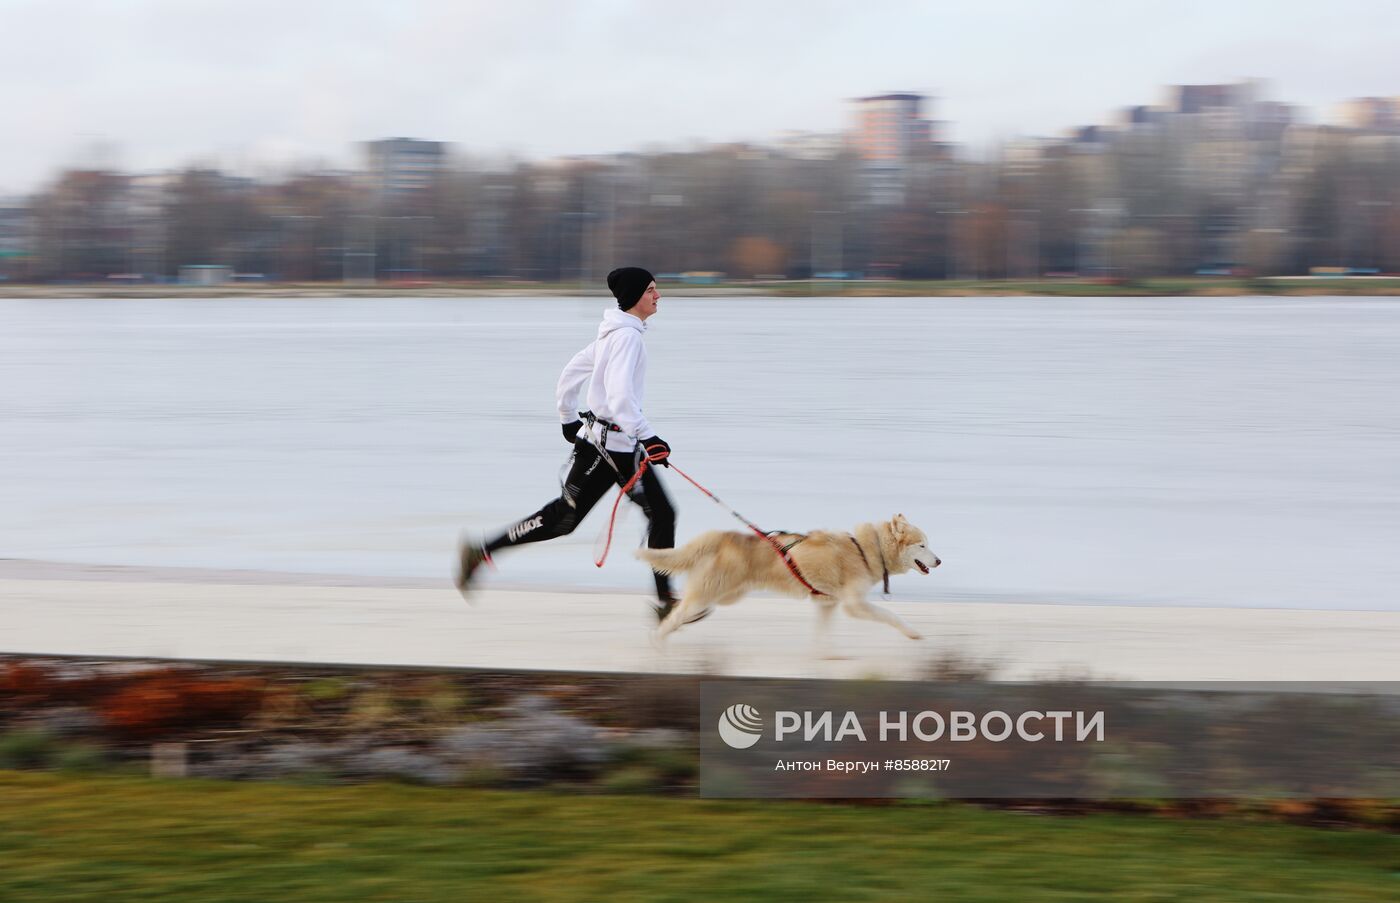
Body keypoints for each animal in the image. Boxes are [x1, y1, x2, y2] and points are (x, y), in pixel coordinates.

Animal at [635, 509, 940, 644]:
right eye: (922, 545)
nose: (939, 561)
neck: (867, 548)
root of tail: (724, 536)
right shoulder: (854, 604)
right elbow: (891, 616)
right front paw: (911, 632)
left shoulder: (827, 603)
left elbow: (822, 633)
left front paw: (825, 656)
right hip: (712, 593)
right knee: (680, 612)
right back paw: (659, 638)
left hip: (725, 596)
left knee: (684, 609)